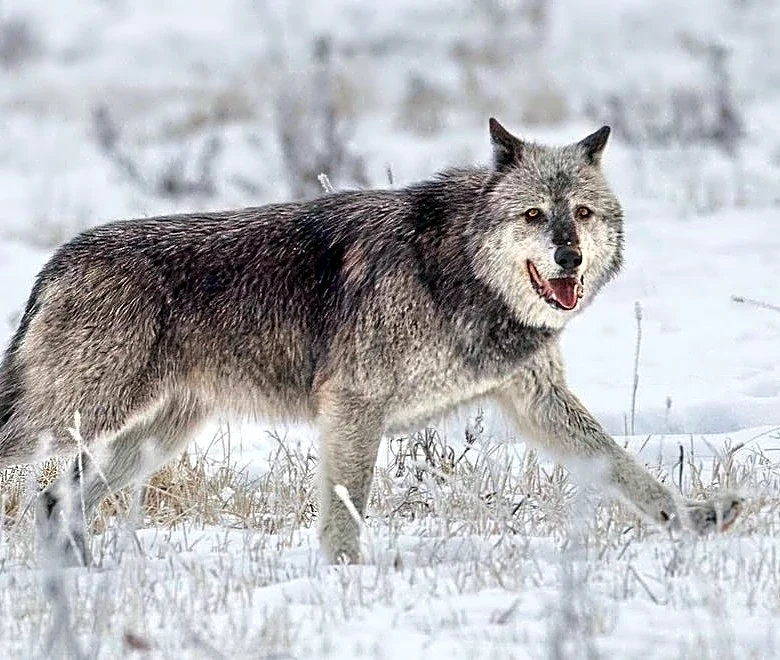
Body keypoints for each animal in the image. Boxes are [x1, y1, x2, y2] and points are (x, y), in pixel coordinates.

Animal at [0, 118, 741, 564]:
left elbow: (623, 467)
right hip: (77, 421)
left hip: (152, 437)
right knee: (42, 488)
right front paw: (348, 581)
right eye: (534, 214)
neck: (457, 270)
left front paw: (696, 518)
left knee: (56, 502)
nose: (569, 256)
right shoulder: (353, 407)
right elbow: (345, 511)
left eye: (582, 213)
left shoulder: (539, 403)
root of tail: (60, 258)